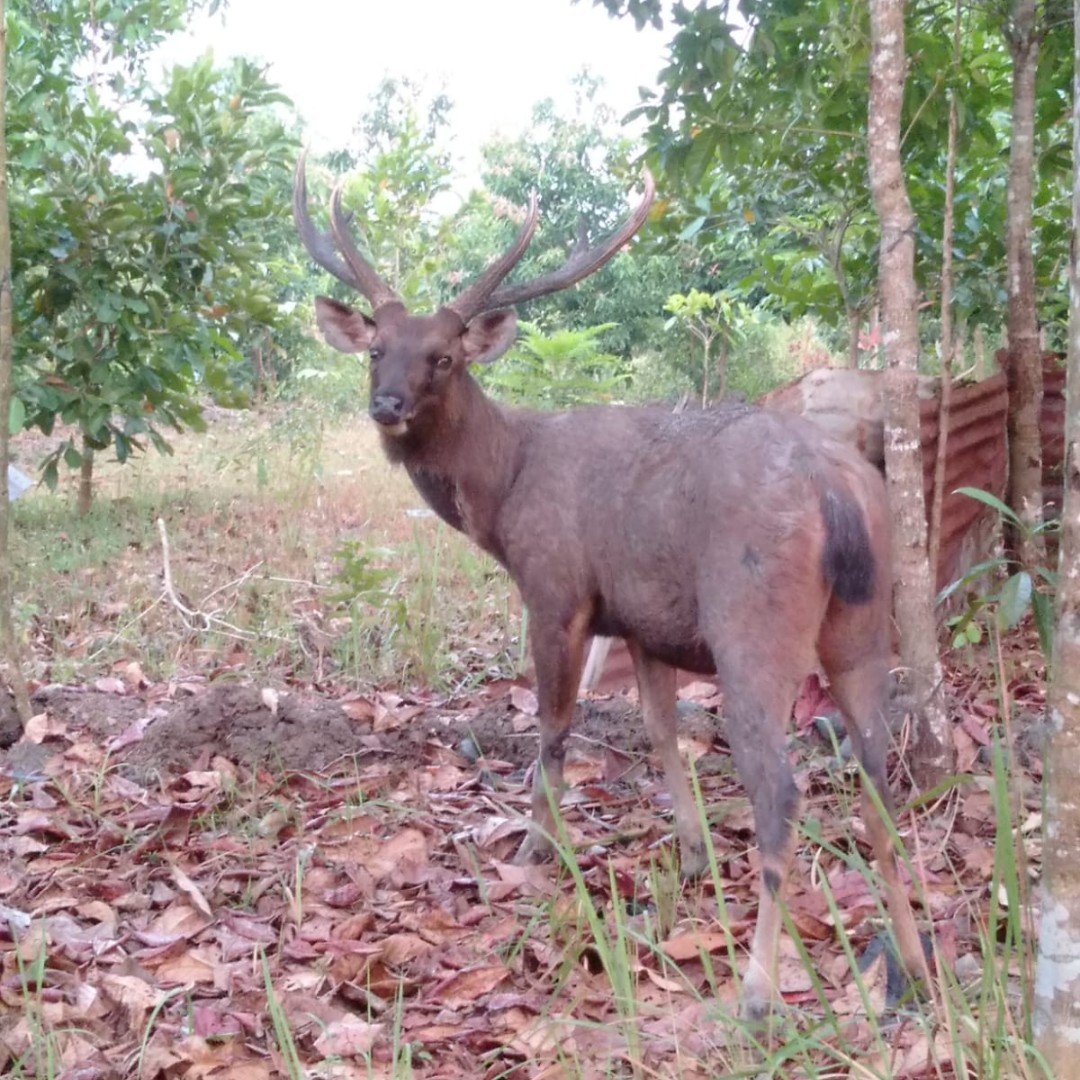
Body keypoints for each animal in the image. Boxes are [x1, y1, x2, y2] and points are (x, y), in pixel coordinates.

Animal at [293, 152, 930, 1020]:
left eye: (444, 357)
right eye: (374, 349)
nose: (386, 404)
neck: (504, 490)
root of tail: (835, 490)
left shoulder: (557, 589)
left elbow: (555, 728)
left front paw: (536, 846)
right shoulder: (644, 620)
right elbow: (661, 734)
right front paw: (692, 854)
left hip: (752, 620)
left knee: (782, 792)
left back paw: (758, 988)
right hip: (862, 624)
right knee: (879, 783)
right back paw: (914, 967)